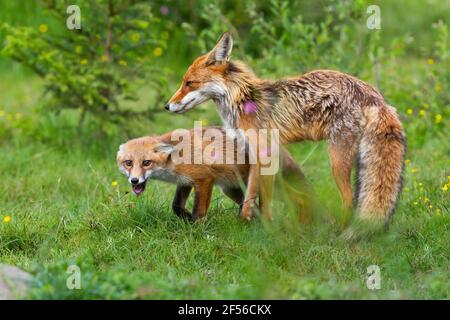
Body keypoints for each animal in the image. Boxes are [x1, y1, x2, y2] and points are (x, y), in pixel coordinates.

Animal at [116, 126, 310, 221]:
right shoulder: (184, 181)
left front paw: (196, 229)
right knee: (252, 208)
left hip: (269, 187)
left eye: (146, 163)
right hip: (232, 190)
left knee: (301, 198)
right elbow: (176, 206)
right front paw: (186, 218)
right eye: (128, 163)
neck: (175, 157)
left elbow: (199, 212)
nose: (134, 181)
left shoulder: (204, 179)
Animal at [165, 31, 404, 228]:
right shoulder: (255, 153)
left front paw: (267, 230)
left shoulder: (265, 153)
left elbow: (265, 201)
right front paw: (247, 222)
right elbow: (251, 197)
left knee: (348, 200)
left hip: (337, 159)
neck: (242, 101)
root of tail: (373, 94)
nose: (167, 106)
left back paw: (339, 232)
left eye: (189, 83)